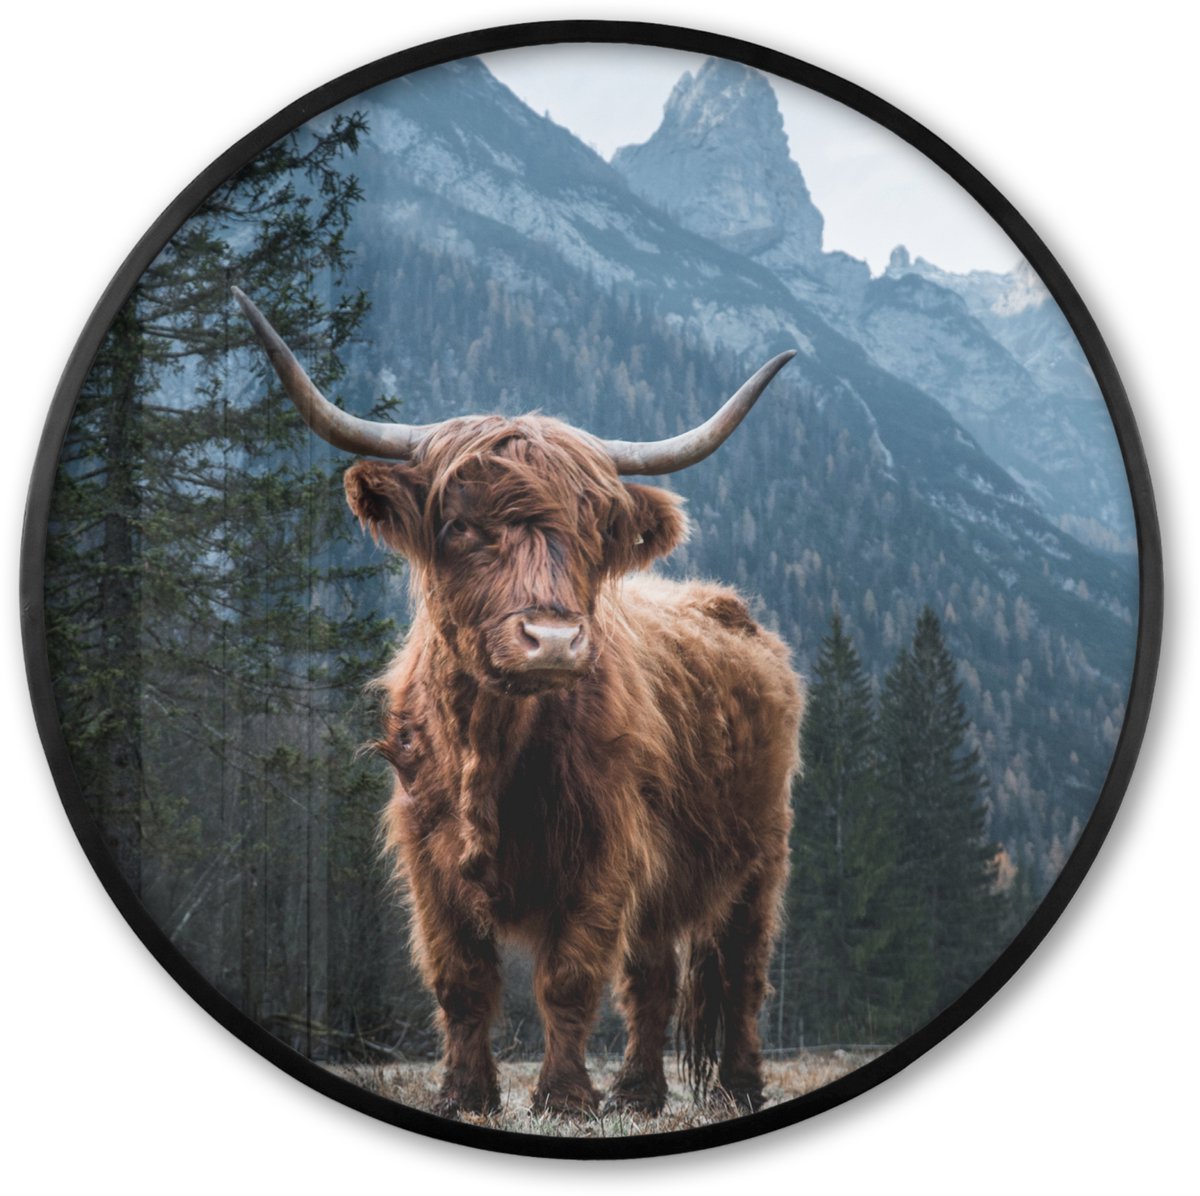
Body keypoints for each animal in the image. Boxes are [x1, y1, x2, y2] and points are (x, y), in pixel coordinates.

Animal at [233, 287, 804, 1118]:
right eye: (460, 526)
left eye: (593, 532)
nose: (555, 640)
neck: (490, 747)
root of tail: (728, 607)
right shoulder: (427, 856)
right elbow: (461, 980)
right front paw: (466, 1094)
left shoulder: (604, 848)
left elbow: (569, 978)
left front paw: (562, 1098)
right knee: (655, 978)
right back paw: (638, 1094)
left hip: (762, 853)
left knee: (742, 973)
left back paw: (738, 1087)